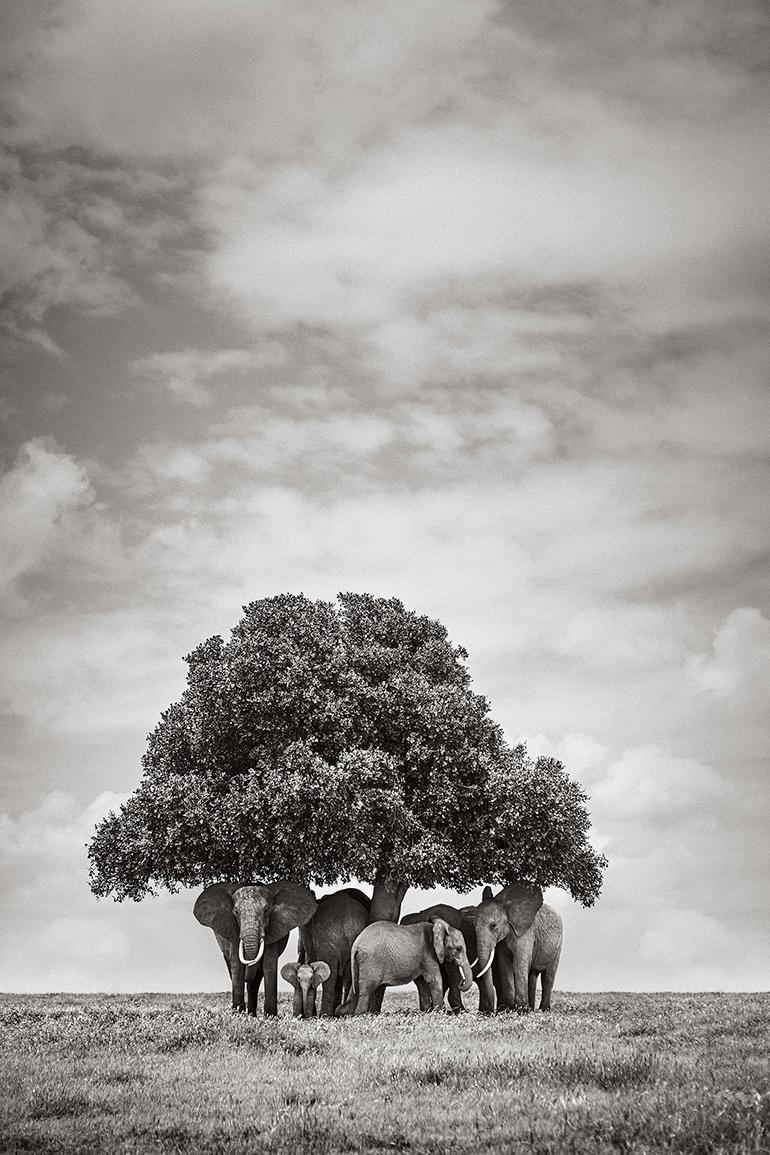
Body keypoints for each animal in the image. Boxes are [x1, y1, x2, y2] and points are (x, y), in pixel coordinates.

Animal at [193, 877, 318, 1016]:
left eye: (266, 910)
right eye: (236, 912)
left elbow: (269, 964)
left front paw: (270, 1016)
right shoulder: (233, 931)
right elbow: (237, 965)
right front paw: (238, 1015)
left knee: (256, 978)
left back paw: (251, 1014)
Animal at [334, 914, 473, 1016]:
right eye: (459, 949)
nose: (462, 982)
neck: (438, 928)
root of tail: (356, 945)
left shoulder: (421, 958)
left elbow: (421, 982)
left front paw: (426, 1011)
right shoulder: (428, 953)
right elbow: (434, 979)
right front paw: (440, 1013)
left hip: (359, 962)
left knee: (356, 988)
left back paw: (343, 1012)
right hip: (370, 961)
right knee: (366, 989)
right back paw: (361, 1014)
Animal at [471, 882, 561, 1011]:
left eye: (493, 926)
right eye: (473, 926)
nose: (490, 1011)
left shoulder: (527, 932)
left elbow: (519, 962)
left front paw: (520, 1010)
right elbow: (504, 963)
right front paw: (510, 1009)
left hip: (557, 946)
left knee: (548, 976)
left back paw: (543, 1010)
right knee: (532, 975)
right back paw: (531, 1009)